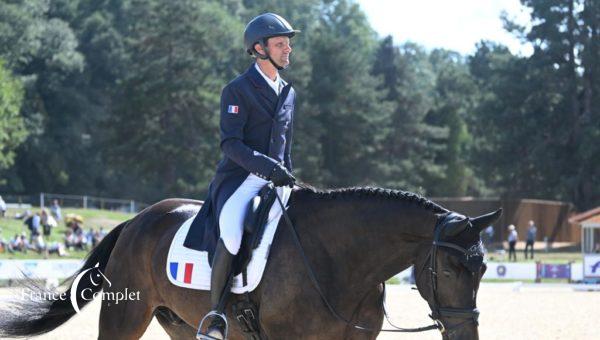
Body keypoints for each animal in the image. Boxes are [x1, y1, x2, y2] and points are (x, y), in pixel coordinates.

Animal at [0, 186, 502, 340]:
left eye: (482, 271)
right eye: (451, 269)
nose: (466, 335)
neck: (339, 261)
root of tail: (137, 220)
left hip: (181, 322)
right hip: (125, 313)